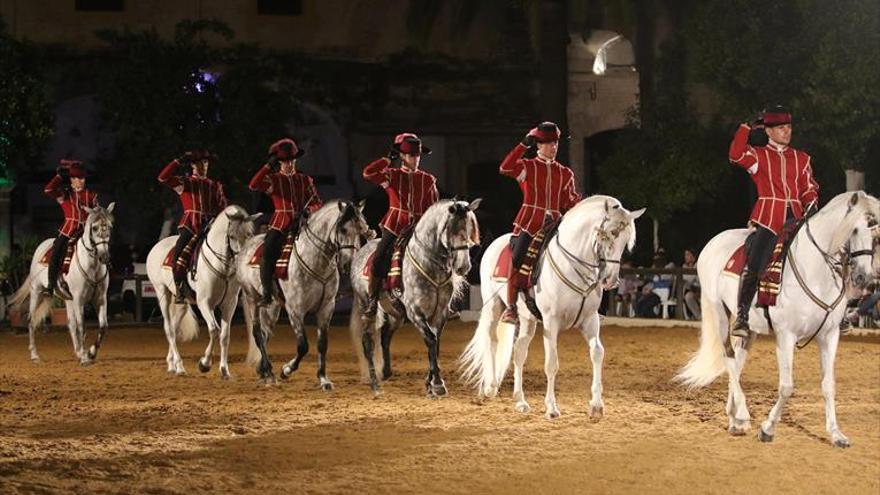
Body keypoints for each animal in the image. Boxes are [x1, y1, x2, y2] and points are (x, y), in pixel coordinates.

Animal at [8, 203, 116, 366]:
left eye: (109, 226)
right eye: (95, 228)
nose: (104, 257)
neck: (92, 266)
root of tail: (41, 246)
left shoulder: (100, 299)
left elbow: (103, 326)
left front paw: (90, 353)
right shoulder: (78, 300)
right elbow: (81, 325)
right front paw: (85, 357)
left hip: (67, 299)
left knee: (70, 323)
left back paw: (78, 351)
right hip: (37, 292)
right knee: (31, 320)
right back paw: (35, 355)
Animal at [146, 203, 258, 378]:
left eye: (249, 235)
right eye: (231, 236)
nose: (242, 261)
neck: (222, 267)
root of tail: (156, 246)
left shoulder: (229, 304)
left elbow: (225, 335)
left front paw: (224, 370)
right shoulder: (205, 303)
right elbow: (214, 330)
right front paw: (204, 364)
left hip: (182, 302)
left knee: (175, 328)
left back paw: (172, 364)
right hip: (162, 293)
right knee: (169, 329)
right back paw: (180, 367)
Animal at [458, 197, 644, 418]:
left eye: (626, 241)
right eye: (606, 235)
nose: (610, 280)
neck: (573, 265)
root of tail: (495, 243)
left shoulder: (590, 320)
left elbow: (597, 353)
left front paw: (597, 405)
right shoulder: (551, 321)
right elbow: (552, 363)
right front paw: (551, 408)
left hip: (527, 319)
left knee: (519, 351)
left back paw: (520, 401)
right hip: (494, 306)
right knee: (491, 340)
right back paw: (491, 386)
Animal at [680, 192, 872, 448]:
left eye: (875, 231)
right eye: (854, 229)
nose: (864, 278)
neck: (814, 269)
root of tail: (713, 242)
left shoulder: (829, 335)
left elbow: (828, 385)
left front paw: (836, 434)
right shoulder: (786, 335)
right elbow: (787, 387)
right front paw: (768, 428)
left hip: (748, 327)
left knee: (738, 361)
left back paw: (734, 419)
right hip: (719, 312)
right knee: (729, 358)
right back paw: (742, 414)